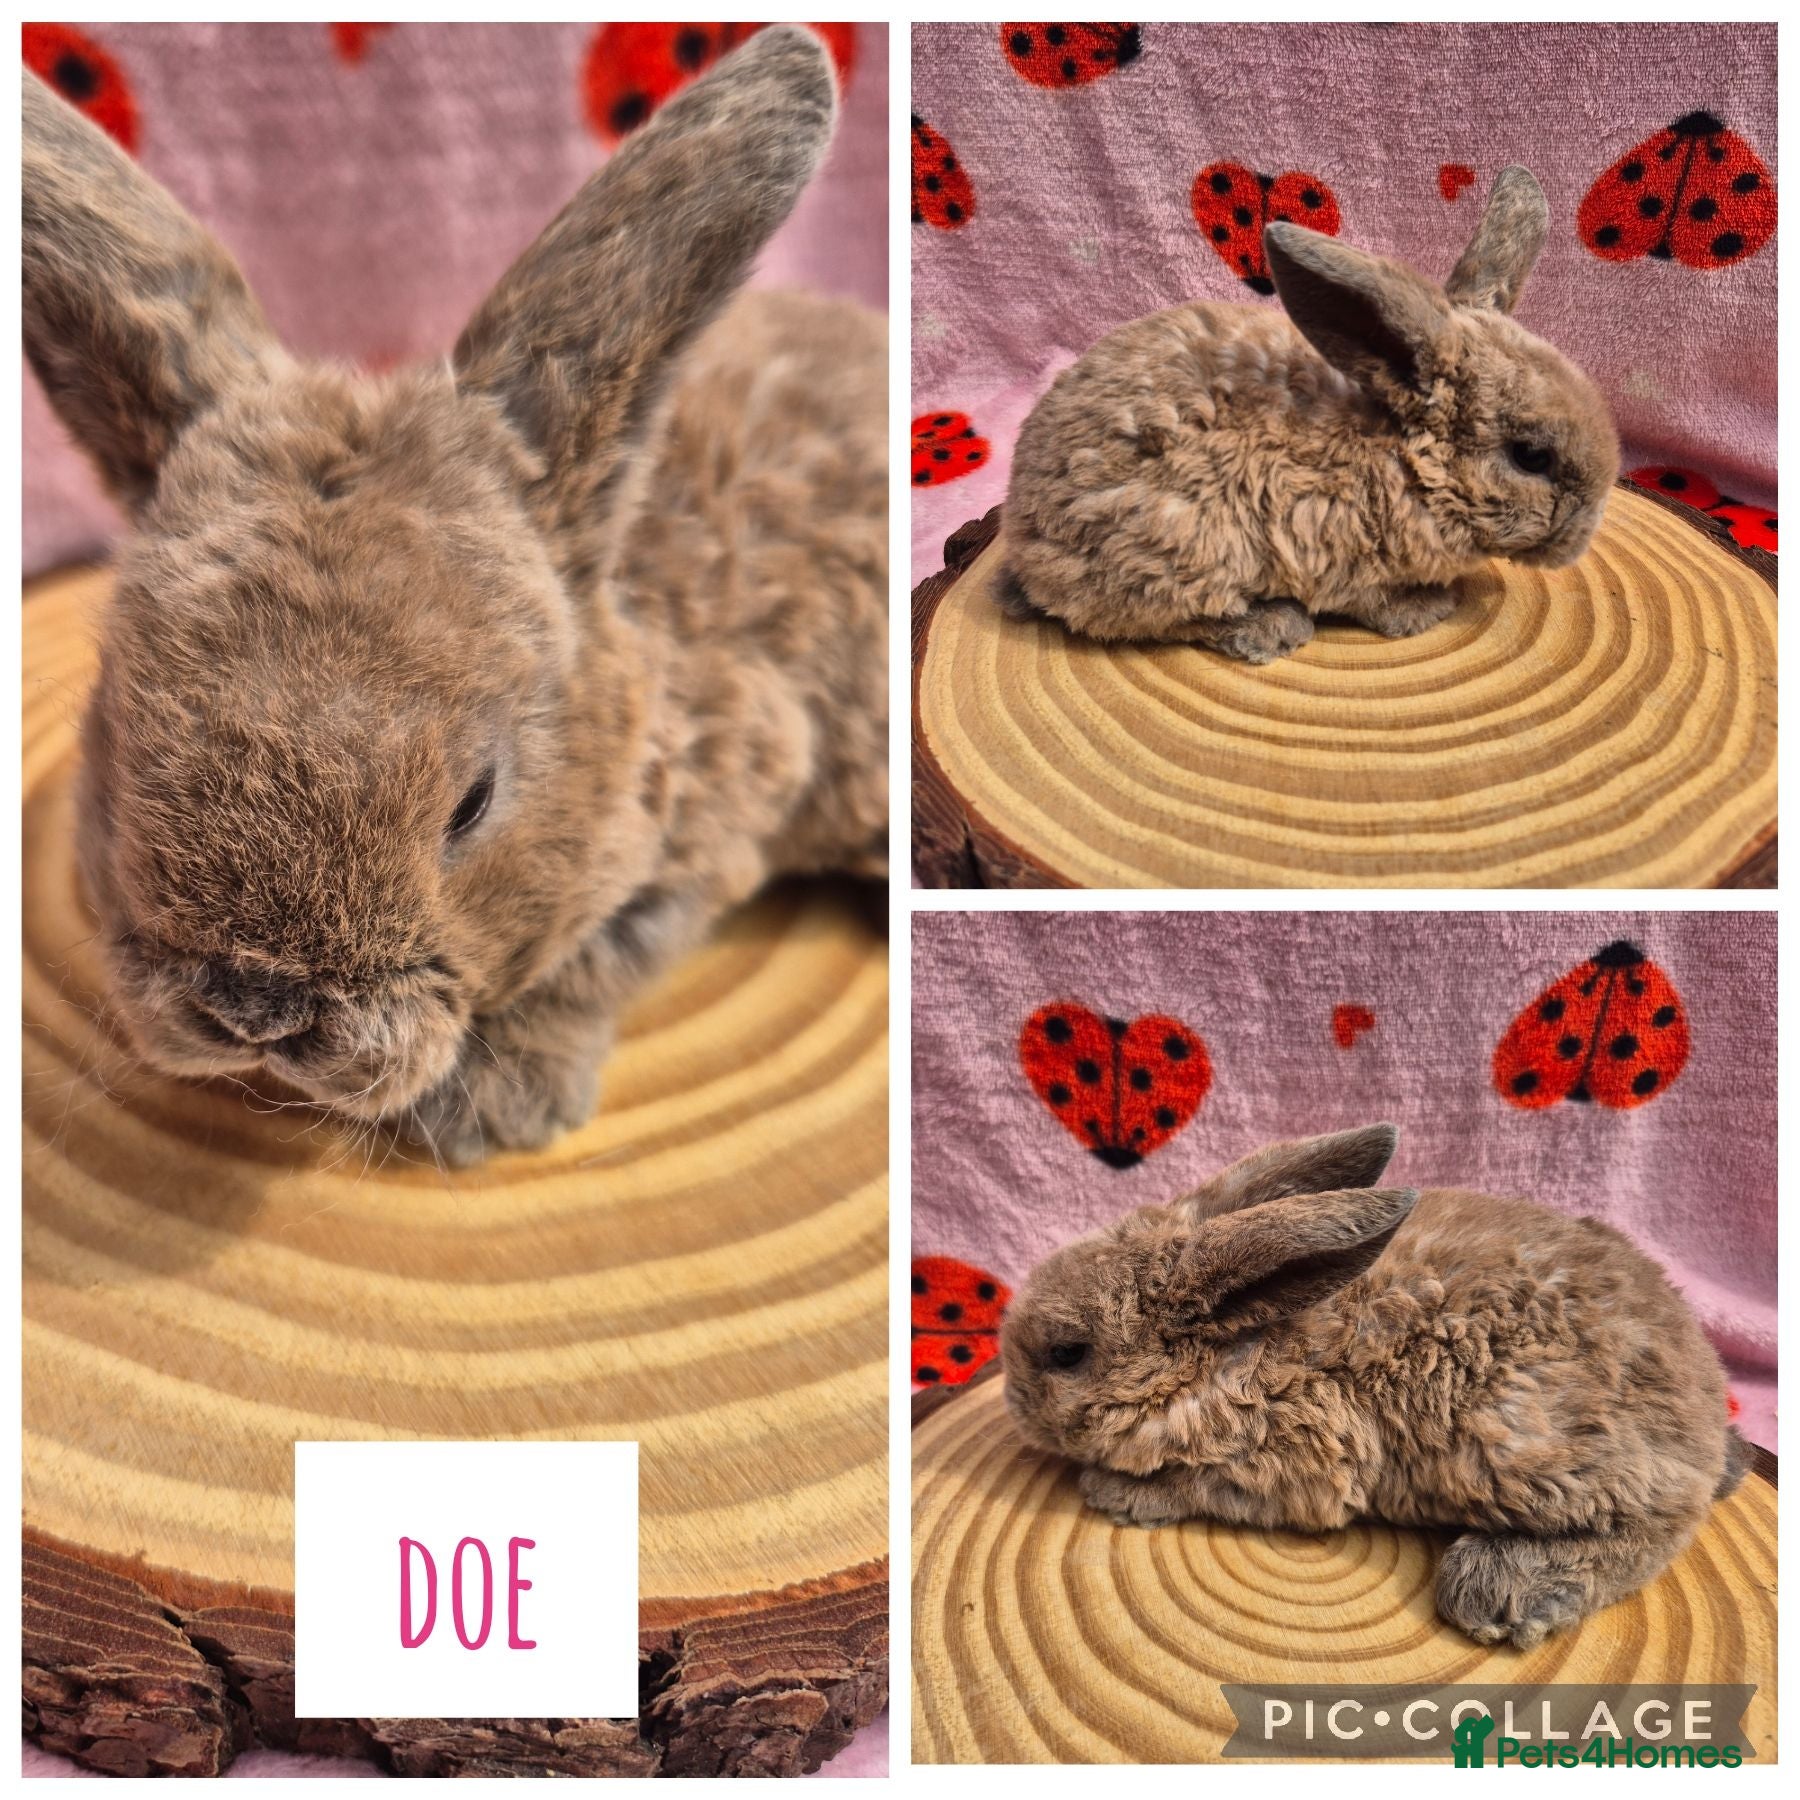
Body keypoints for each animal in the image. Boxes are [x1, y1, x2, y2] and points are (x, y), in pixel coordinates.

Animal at [22, 27, 887, 1166]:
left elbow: (596, 962)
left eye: (473, 803)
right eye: (120, 743)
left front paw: (489, 1109)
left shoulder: (729, 804)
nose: (258, 1012)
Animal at [997, 169, 1620, 660]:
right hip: (1176, 547)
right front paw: (1426, 609)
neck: (1401, 461)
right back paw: (1274, 627)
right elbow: (1378, 604)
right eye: (1531, 456)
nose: (1578, 542)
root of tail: (1023, 534)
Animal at [1001, 1124, 1751, 1649]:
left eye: (1067, 1353)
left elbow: (1189, 1486)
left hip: (1525, 1443)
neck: (1237, 1350)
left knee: (1661, 1523)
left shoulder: (1290, 1472)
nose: (1010, 1401)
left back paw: (1499, 1587)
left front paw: (1114, 1493)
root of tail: (1705, 1407)